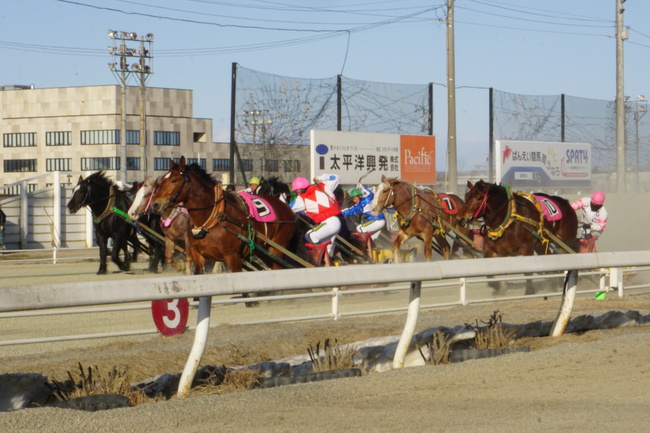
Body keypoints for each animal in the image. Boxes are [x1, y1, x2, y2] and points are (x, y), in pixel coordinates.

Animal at [148, 157, 298, 278]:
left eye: (174, 180)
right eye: (162, 180)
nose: (155, 204)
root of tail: (286, 209)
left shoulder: (233, 257)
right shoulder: (198, 255)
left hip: (276, 249)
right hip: (264, 251)